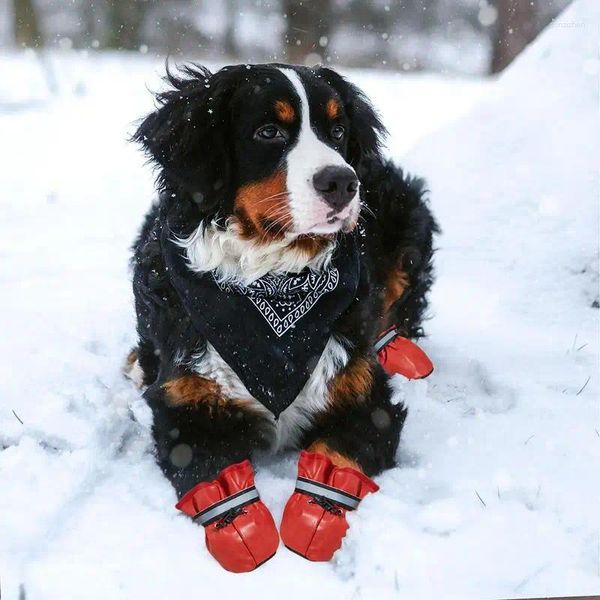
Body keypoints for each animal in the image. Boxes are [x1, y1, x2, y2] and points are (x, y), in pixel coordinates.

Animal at [127, 63, 436, 568]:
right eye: (268, 131)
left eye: (337, 130)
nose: (342, 182)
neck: (273, 279)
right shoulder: (186, 404)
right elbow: (213, 476)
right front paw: (245, 531)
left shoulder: (364, 395)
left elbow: (337, 455)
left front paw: (312, 520)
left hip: (406, 219)